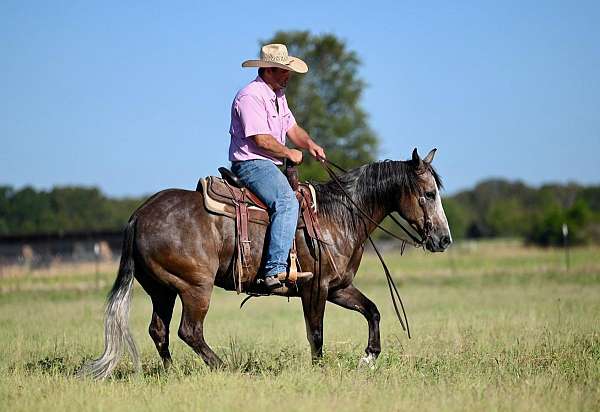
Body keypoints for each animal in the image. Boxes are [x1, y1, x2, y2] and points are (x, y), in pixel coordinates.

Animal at [82, 148, 452, 380]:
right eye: (429, 193)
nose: (444, 239)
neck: (337, 216)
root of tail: (139, 214)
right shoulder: (314, 288)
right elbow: (316, 333)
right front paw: (320, 371)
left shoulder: (338, 287)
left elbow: (372, 311)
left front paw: (368, 358)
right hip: (194, 287)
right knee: (189, 330)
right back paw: (224, 368)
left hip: (163, 290)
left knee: (159, 331)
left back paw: (171, 373)